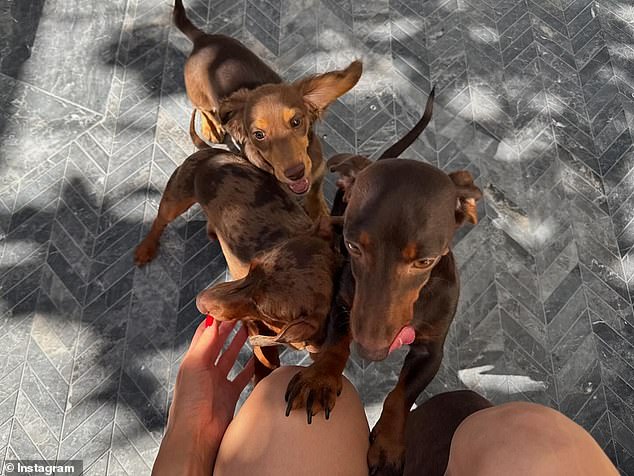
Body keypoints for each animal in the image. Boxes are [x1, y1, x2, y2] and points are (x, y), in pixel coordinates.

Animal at [135, 1, 484, 474]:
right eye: (354, 247)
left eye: (425, 262)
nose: (372, 348)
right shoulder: (334, 309)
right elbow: (303, 352)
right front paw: (312, 378)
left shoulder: (430, 349)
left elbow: (399, 395)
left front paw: (388, 442)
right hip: (179, 188)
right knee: (162, 212)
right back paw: (149, 243)